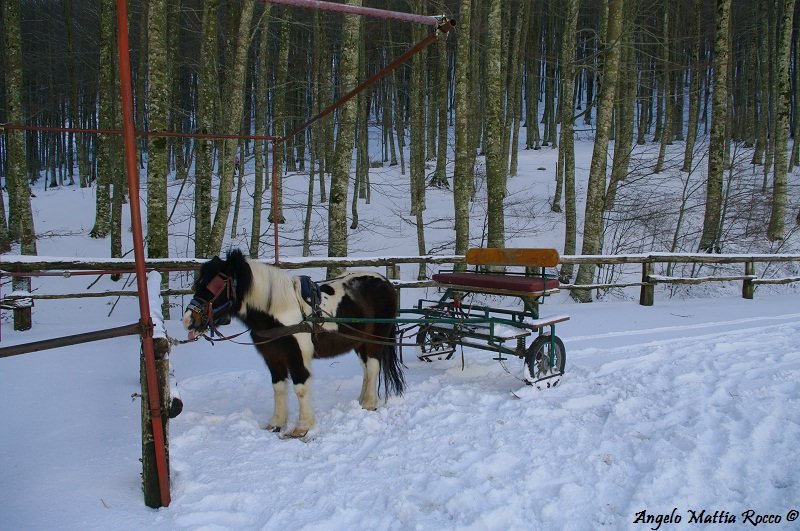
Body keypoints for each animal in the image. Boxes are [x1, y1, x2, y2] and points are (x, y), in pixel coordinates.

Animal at [182, 249, 405, 438]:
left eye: (217, 285)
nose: (188, 320)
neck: (280, 310)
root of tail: (386, 282)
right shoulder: (272, 357)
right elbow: (278, 387)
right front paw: (276, 423)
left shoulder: (297, 356)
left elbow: (300, 387)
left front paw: (302, 427)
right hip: (359, 342)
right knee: (366, 368)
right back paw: (361, 400)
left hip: (376, 337)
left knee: (373, 366)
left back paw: (369, 403)